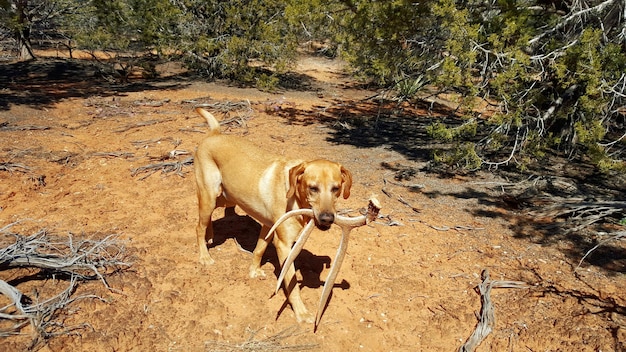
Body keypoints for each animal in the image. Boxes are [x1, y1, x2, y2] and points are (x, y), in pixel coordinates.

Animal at [194, 108, 352, 324]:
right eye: (313, 188)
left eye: (336, 189)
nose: (327, 218)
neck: (293, 195)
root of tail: (214, 134)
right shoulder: (284, 245)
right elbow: (292, 283)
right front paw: (301, 312)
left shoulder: (268, 226)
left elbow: (259, 249)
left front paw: (253, 270)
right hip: (210, 195)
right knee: (198, 226)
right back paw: (204, 255)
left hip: (227, 197)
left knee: (206, 218)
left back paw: (210, 235)